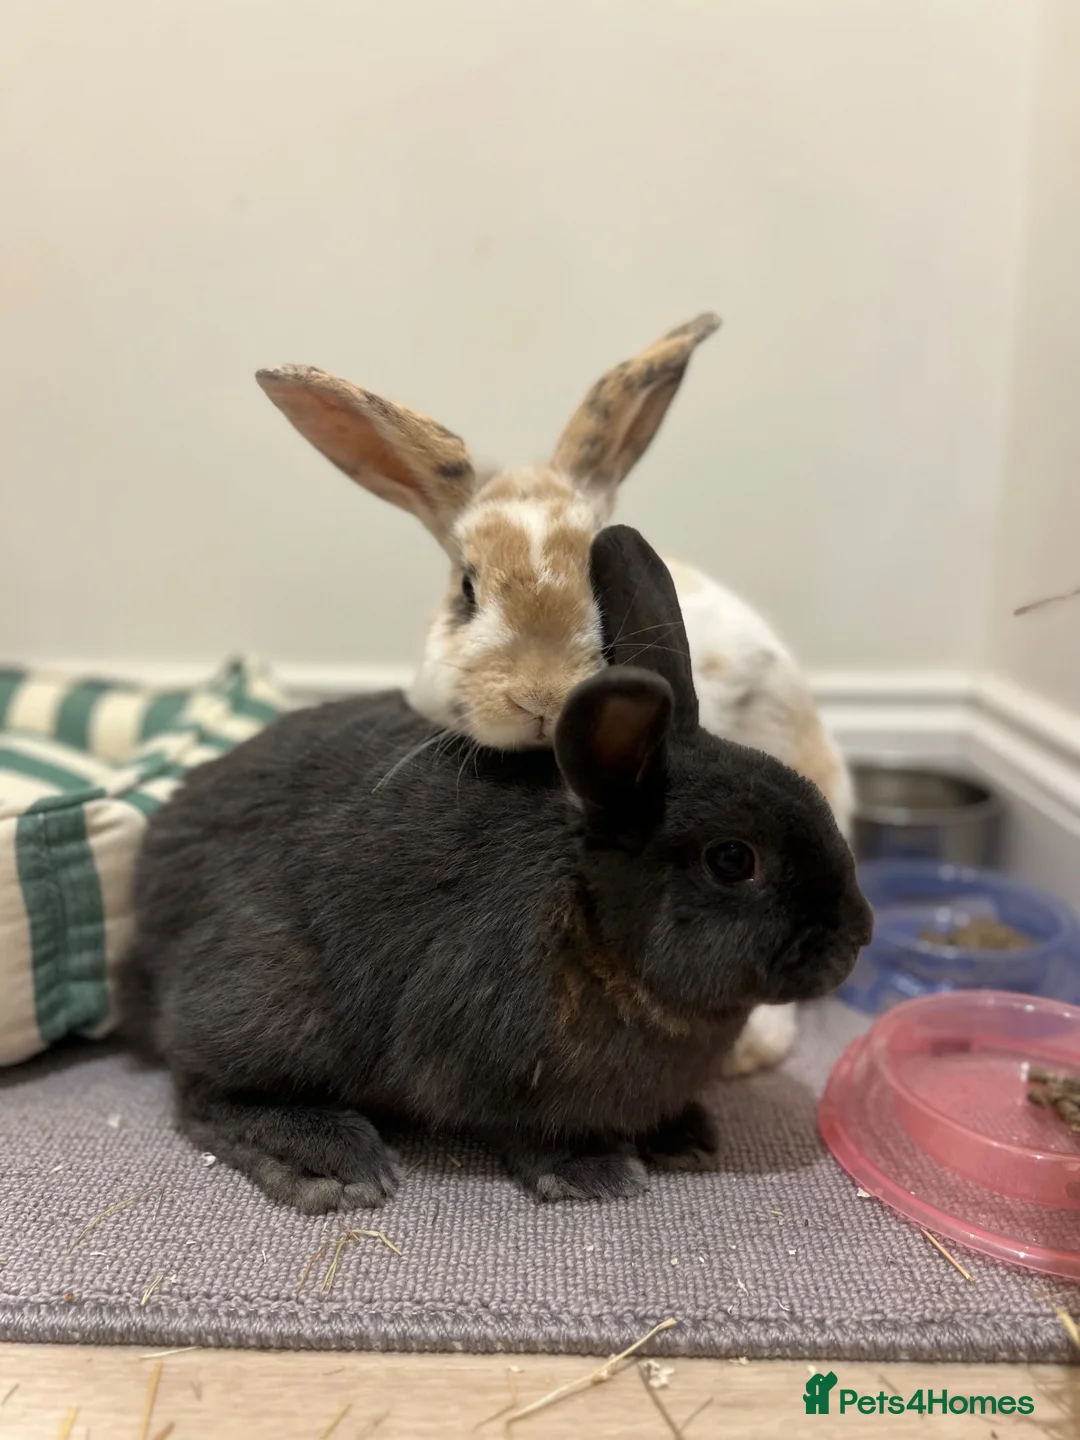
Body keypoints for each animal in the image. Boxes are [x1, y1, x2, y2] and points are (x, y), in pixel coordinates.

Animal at [120, 524, 872, 1213]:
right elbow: (522, 1130)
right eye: (732, 860)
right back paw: (331, 1162)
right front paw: (592, 1172)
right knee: (204, 1094)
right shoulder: (481, 1066)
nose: (856, 936)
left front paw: (685, 1135)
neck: (590, 927)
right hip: (272, 1002)